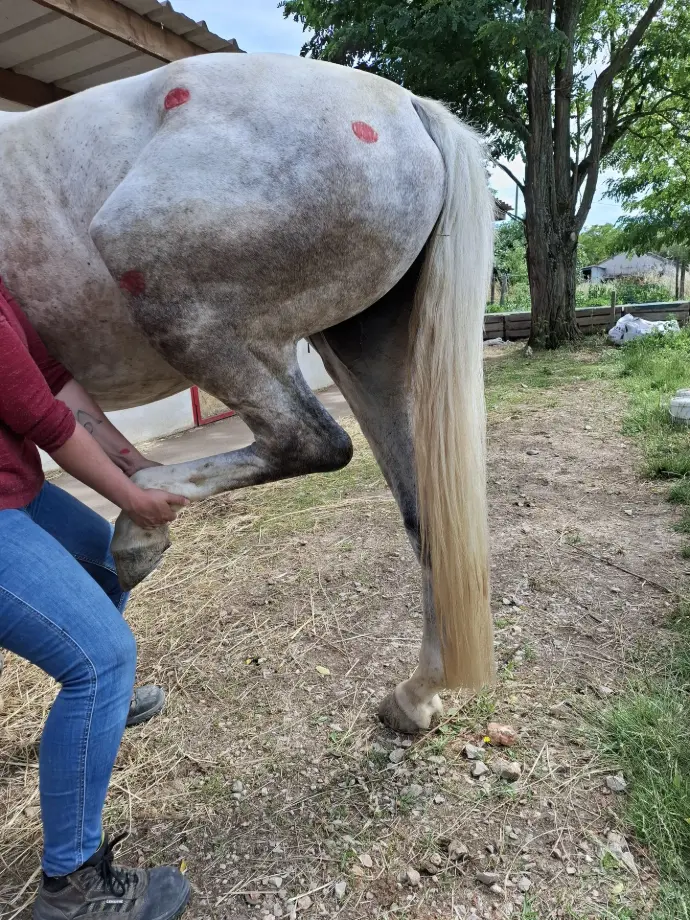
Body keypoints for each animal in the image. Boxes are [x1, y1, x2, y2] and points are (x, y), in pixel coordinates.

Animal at [0, 52, 494, 732]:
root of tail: (406, 108)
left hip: (173, 289)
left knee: (308, 440)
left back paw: (138, 524)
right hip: (365, 351)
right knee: (424, 517)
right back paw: (415, 696)